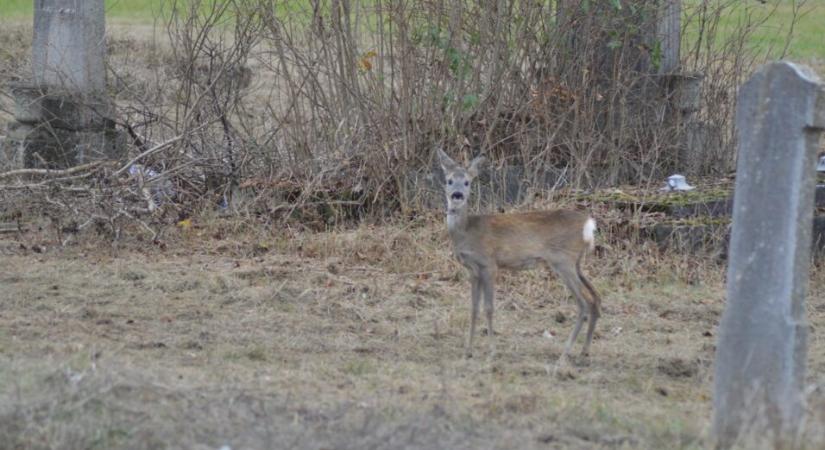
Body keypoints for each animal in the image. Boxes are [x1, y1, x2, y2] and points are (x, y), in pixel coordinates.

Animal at [438, 149, 600, 360]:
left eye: (467, 182)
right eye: (449, 180)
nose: (457, 195)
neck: (466, 231)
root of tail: (588, 224)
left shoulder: (489, 264)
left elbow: (488, 308)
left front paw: (492, 351)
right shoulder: (473, 270)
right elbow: (473, 308)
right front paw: (468, 351)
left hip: (563, 261)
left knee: (584, 302)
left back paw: (565, 354)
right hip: (576, 262)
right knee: (595, 297)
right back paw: (584, 352)